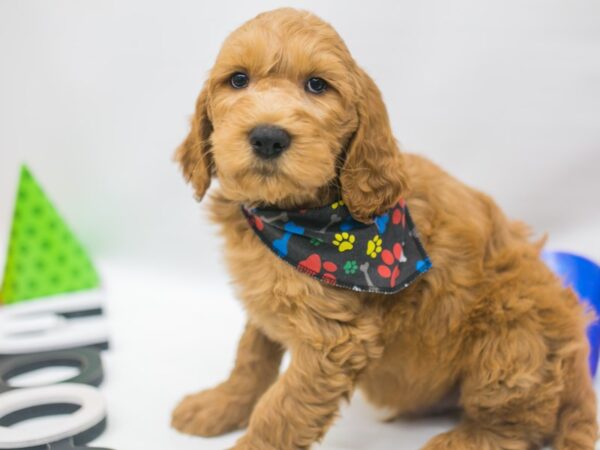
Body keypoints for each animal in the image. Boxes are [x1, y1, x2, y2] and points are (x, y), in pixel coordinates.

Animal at [171, 7, 596, 450]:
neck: (293, 219)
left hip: (509, 337)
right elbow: (250, 356)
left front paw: (252, 440)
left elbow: (282, 409)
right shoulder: (265, 295)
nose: (268, 137)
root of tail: (578, 345)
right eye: (238, 79)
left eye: (317, 85)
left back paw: (461, 439)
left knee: (520, 421)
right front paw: (220, 404)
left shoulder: (336, 341)